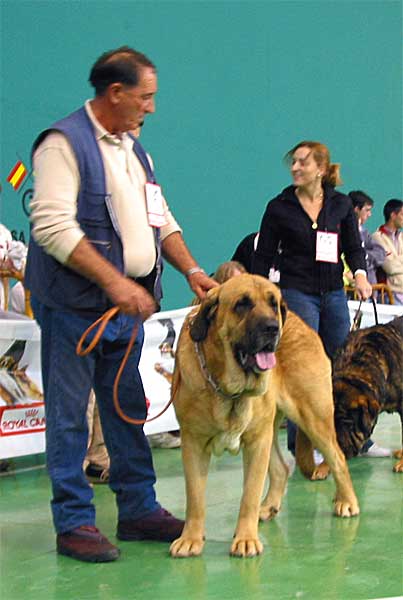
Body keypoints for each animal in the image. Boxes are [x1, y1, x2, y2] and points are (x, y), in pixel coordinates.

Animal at [170, 276, 360, 556]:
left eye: (273, 304)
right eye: (242, 304)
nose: (272, 328)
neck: (227, 387)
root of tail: (301, 323)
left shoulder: (256, 442)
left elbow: (249, 494)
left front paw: (246, 539)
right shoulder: (194, 443)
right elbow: (195, 497)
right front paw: (190, 538)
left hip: (312, 416)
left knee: (337, 458)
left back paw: (347, 502)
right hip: (271, 430)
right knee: (281, 469)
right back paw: (269, 507)